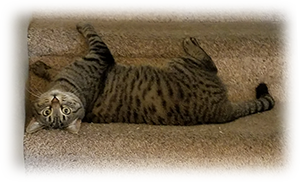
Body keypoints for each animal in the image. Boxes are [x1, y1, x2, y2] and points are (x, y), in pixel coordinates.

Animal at [27, 22, 276, 134]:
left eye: (63, 111)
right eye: (50, 113)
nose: (55, 100)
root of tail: (223, 112)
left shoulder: (98, 54)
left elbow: (88, 35)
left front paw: (40, 67)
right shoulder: (98, 55)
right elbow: (91, 34)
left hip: (181, 64)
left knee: (210, 63)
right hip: (181, 65)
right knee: (210, 64)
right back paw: (191, 44)